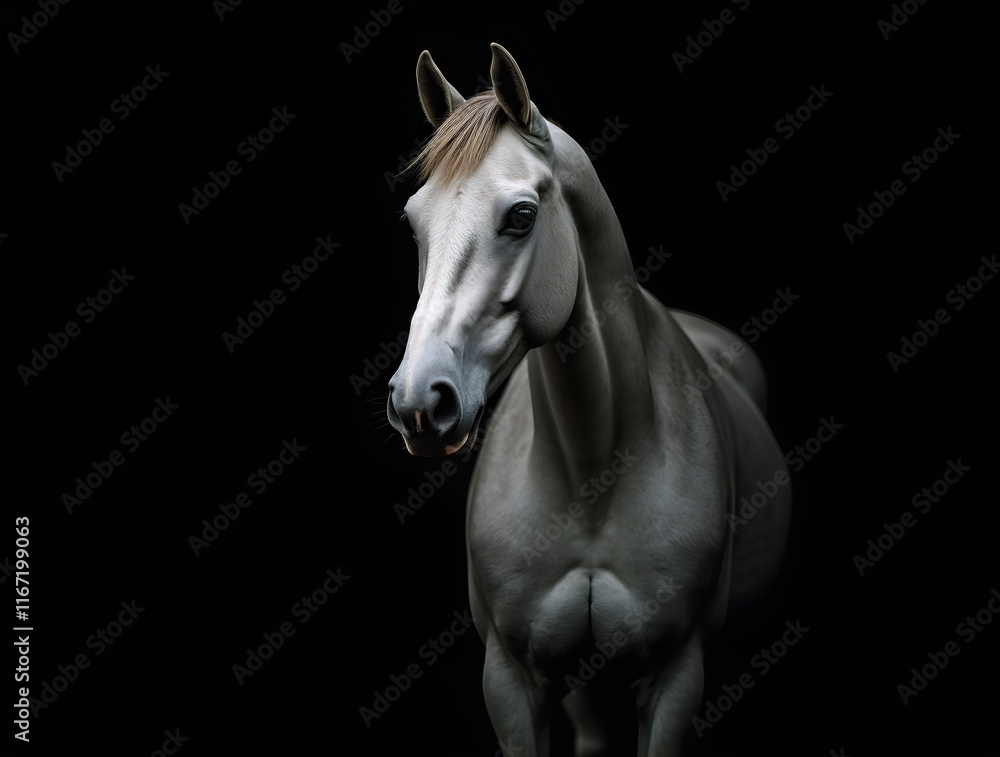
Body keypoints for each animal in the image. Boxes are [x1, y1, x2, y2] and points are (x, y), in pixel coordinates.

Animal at [386, 43, 791, 756]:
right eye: (414, 222)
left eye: (521, 216)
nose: (419, 402)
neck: (593, 466)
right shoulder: (510, 680)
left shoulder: (678, 677)